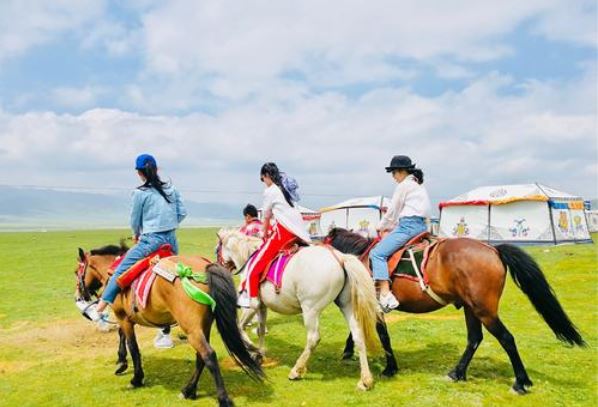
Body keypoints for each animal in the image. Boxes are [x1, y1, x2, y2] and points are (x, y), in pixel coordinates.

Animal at [74, 244, 264, 406]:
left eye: (77, 271)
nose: (79, 296)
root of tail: (206, 267)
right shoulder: (125, 317)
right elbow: (123, 337)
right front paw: (121, 363)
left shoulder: (123, 317)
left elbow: (132, 346)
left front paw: (135, 378)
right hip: (203, 325)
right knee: (201, 357)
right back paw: (188, 390)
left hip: (191, 328)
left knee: (208, 355)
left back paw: (223, 399)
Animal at [218, 228, 380, 390]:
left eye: (218, 248)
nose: (220, 266)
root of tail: (340, 257)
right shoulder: (262, 307)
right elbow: (261, 330)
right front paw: (259, 353)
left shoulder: (252, 306)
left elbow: (240, 327)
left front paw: (253, 349)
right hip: (347, 306)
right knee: (358, 335)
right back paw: (365, 380)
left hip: (310, 310)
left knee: (313, 338)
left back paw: (296, 370)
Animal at [326, 228, 588, 394]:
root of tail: (493, 250)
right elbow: (358, 331)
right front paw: (348, 351)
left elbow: (382, 336)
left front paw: (390, 368)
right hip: (471, 308)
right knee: (475, 339)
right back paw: (457, 373)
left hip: (484, 311)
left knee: (506, 338)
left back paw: (520, 383)